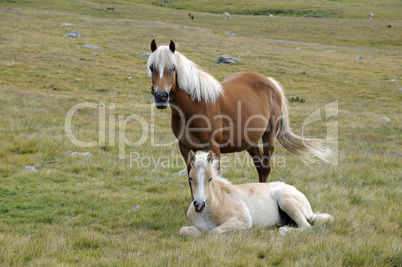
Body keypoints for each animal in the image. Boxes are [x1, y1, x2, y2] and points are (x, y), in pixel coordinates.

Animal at [146, 39, 332, 184]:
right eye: (152, 68)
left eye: (173, 68)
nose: (161, 97)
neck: (196, 105)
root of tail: (270, 82)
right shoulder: (184, 148)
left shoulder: (213, 148)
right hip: (250, 141)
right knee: (260, 167)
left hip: (269, 136)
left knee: (266, 168)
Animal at [179, 151, 332, 237]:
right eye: (190, 178)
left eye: (210, 178)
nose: (199, 205)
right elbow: (185, 230)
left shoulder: (243, 220)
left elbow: (213, 232)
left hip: (285, 199)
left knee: (306, 226)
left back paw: (281, 231)